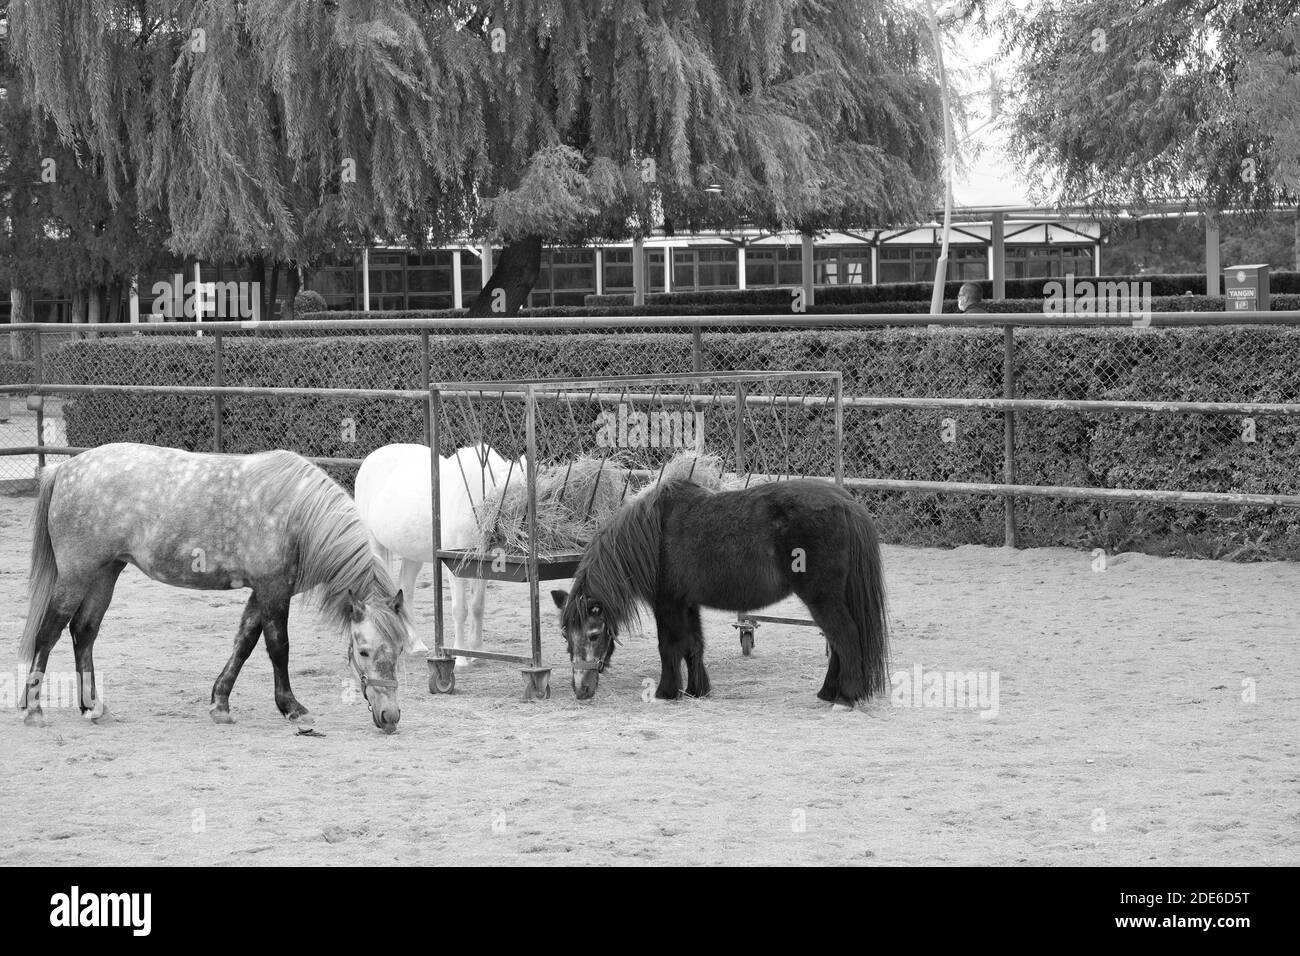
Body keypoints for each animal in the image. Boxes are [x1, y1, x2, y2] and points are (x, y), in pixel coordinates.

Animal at [17, 443, 411, 734]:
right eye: (363, 652)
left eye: (400, 649)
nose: (390, 717)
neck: (297, 517)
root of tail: (64, 469)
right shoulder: (273, 589)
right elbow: (278, 648)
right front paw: (292, 708)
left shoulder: (263, 591)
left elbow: (244, 643)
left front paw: (220, 704)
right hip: (76, 574)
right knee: (49, 633)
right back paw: (34, 710)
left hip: (106, 572)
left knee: (84, 631)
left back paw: (91, 707)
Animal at [354, 443, 526, 668]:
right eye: (509, 501)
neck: (470, 503)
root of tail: (370, 459)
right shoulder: (455, 567)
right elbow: (460, 609)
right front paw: (461, 657)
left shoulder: (482, 565)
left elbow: (477, 607)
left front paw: (477, 652)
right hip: (376, 546)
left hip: (413, 555)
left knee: (406, 590)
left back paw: (415, 645)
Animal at [551, 477, 890, 707]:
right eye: (566, 636)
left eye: (594, 634)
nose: (580, 690)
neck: (654, 534)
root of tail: (847, 503)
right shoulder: (687, 603)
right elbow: (693, 645)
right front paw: (697, 690)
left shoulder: (667, 604)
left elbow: (669, 646)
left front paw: (666, 692)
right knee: (837, 642)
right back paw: (827, 692)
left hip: (821, 598)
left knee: (845, 637)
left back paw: (845, 697)